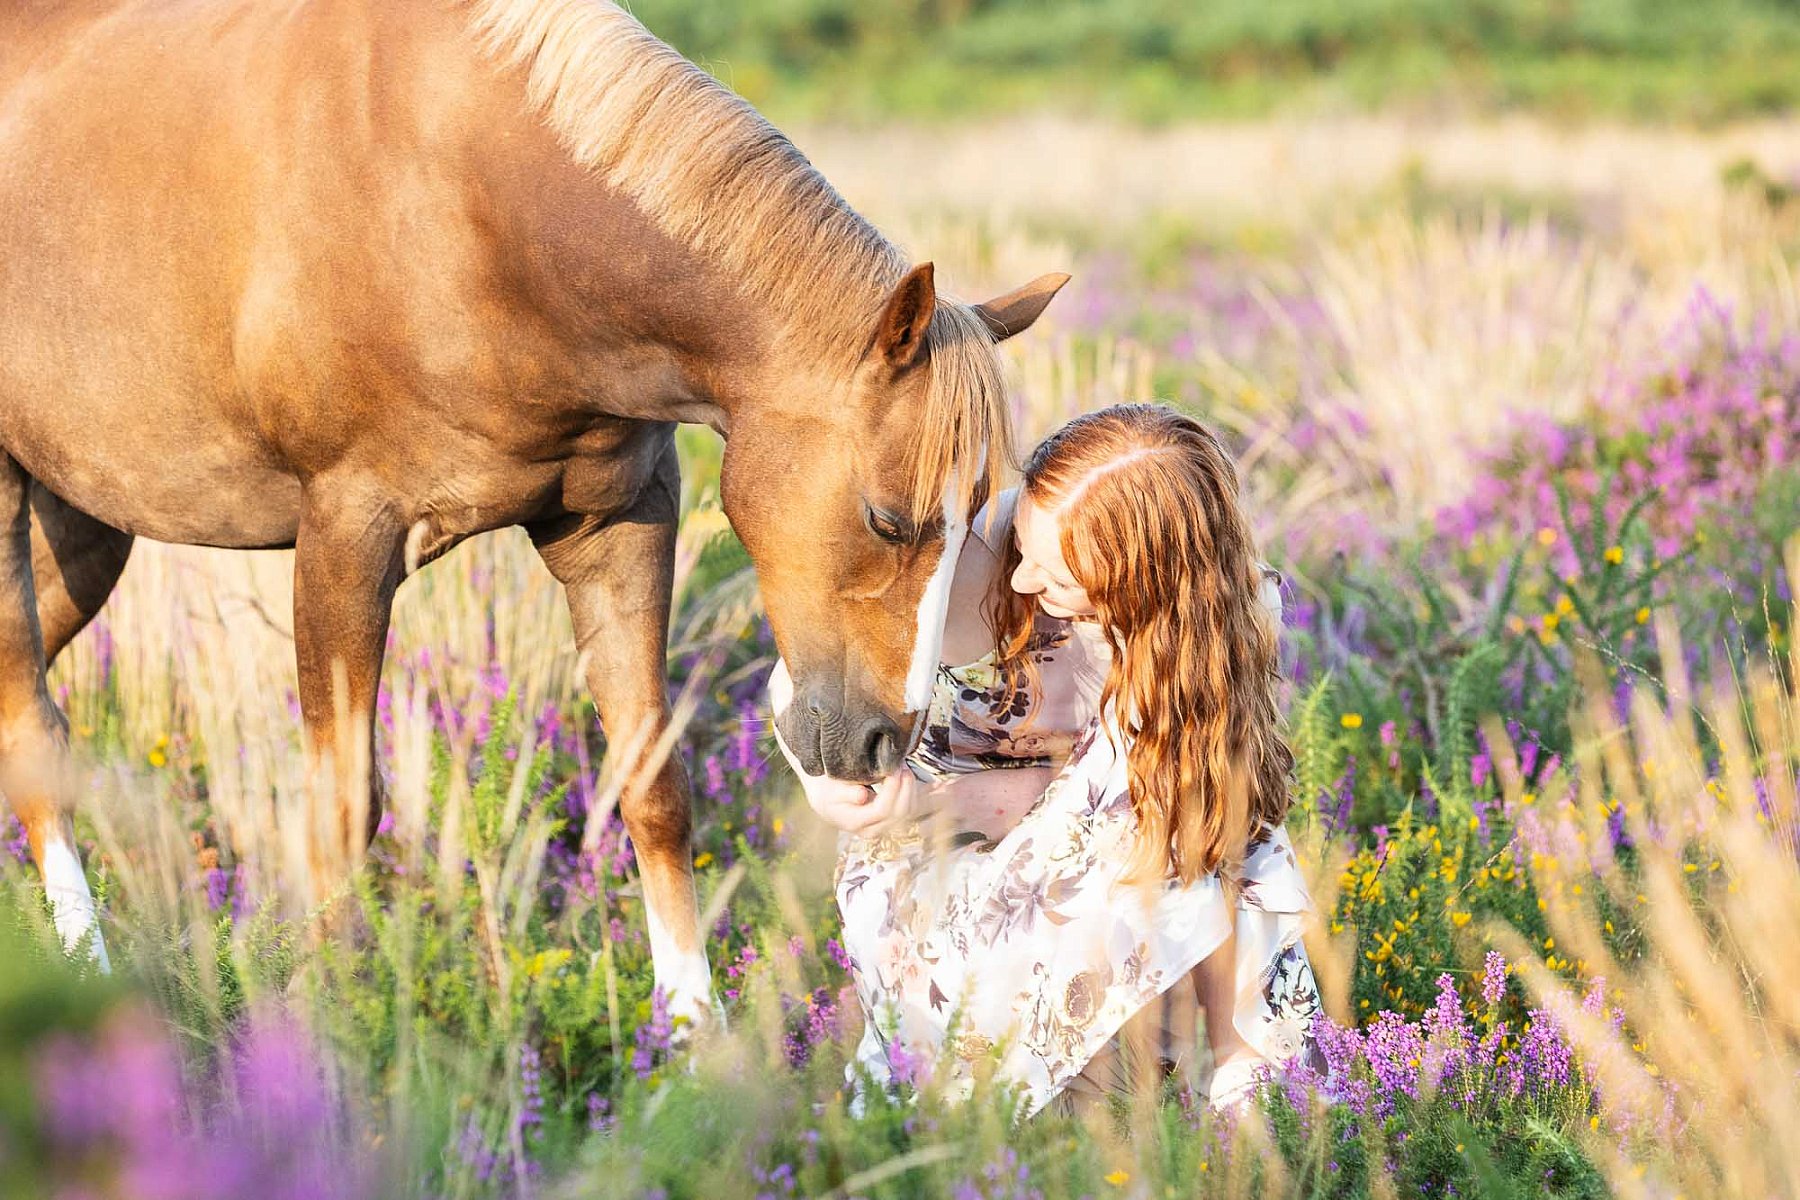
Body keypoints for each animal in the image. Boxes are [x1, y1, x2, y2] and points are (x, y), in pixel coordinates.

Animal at [0, 0, 1058, 1021]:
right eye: (886, 520)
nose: (881, 744)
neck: (474, 213)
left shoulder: (619, 526)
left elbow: (652, 782)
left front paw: (692, 1041)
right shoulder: (344, 537)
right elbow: (343, 810)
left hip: (87, 527)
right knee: (31, 721)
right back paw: (87, 969)